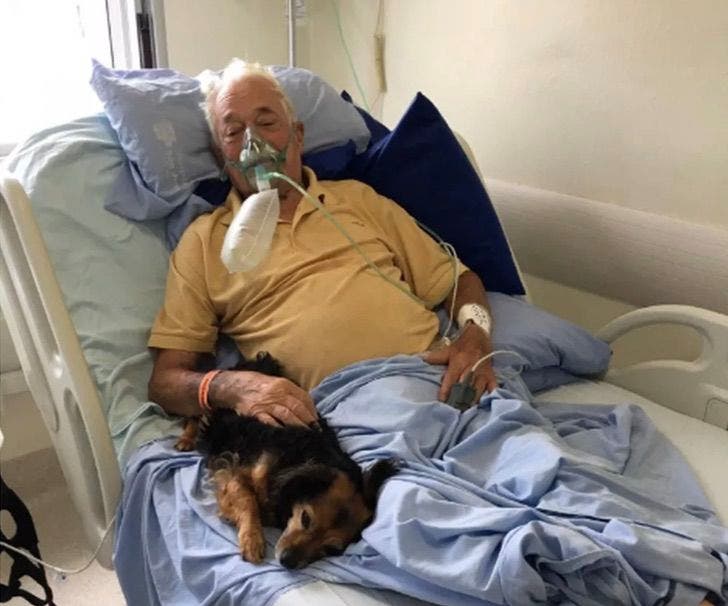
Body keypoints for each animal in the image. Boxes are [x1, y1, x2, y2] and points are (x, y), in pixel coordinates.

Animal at [175, 352, 397, 569]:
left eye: (331, 549)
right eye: (306, 518)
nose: (288, 562)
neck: (295, 460)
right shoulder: (235, 467)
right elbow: (247, 499)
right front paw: (252, 539)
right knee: (194, 416)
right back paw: (186, 440)